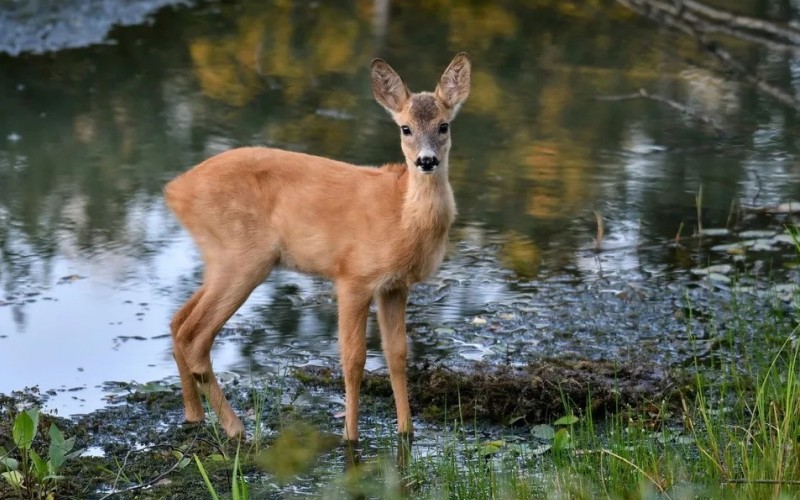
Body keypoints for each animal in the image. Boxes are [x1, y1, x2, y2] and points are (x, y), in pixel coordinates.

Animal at [166, 51, 472, 442]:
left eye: (444, 125)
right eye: (405, 128)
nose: (427, 161)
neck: (402, 216)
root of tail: (174, 190)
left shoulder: (394, 285)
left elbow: (397, 355)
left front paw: (406, 432)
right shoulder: (353, 275)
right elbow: (354, 359)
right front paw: (350, 437)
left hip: (220, 257)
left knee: (177, 321)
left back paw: (194, 415)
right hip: (243, 256)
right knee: (194, 336)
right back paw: (237, 428)